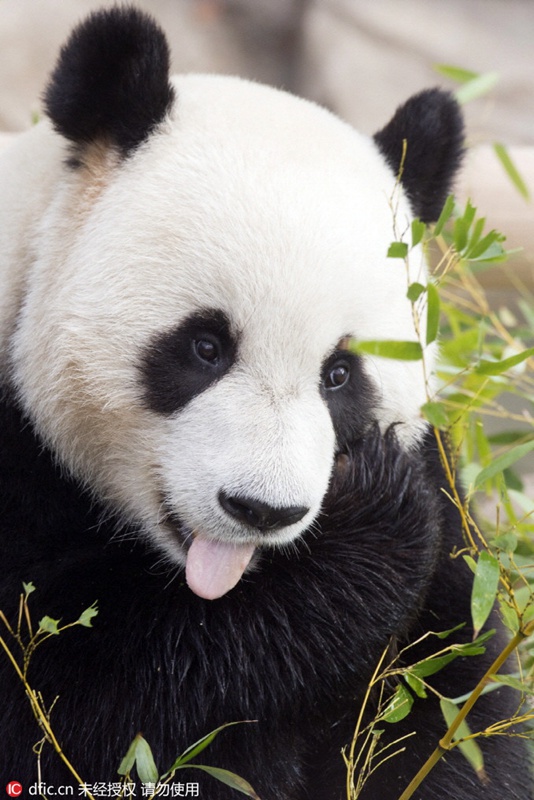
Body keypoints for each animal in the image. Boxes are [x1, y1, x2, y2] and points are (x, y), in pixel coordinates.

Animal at [0, 7, 530, 799]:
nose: (261, 510)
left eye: (340, 375)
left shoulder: (447, 513)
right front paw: (369, 532)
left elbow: (455, 712)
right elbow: (76, 708)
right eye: (205, 346)